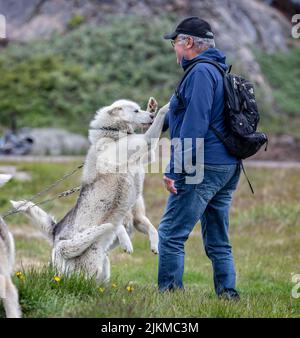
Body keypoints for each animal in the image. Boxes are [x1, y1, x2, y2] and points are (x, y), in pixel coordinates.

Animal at [11, 97, 170, 282]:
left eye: (140, 109)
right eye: (136, 111)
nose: (150, 115)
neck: (111, 133)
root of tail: (56, 238)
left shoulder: (146, 154)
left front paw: (153, 107)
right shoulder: (145, 140)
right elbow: (158, 120)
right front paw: (168, 104)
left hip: (103, 267)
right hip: (86, 263)